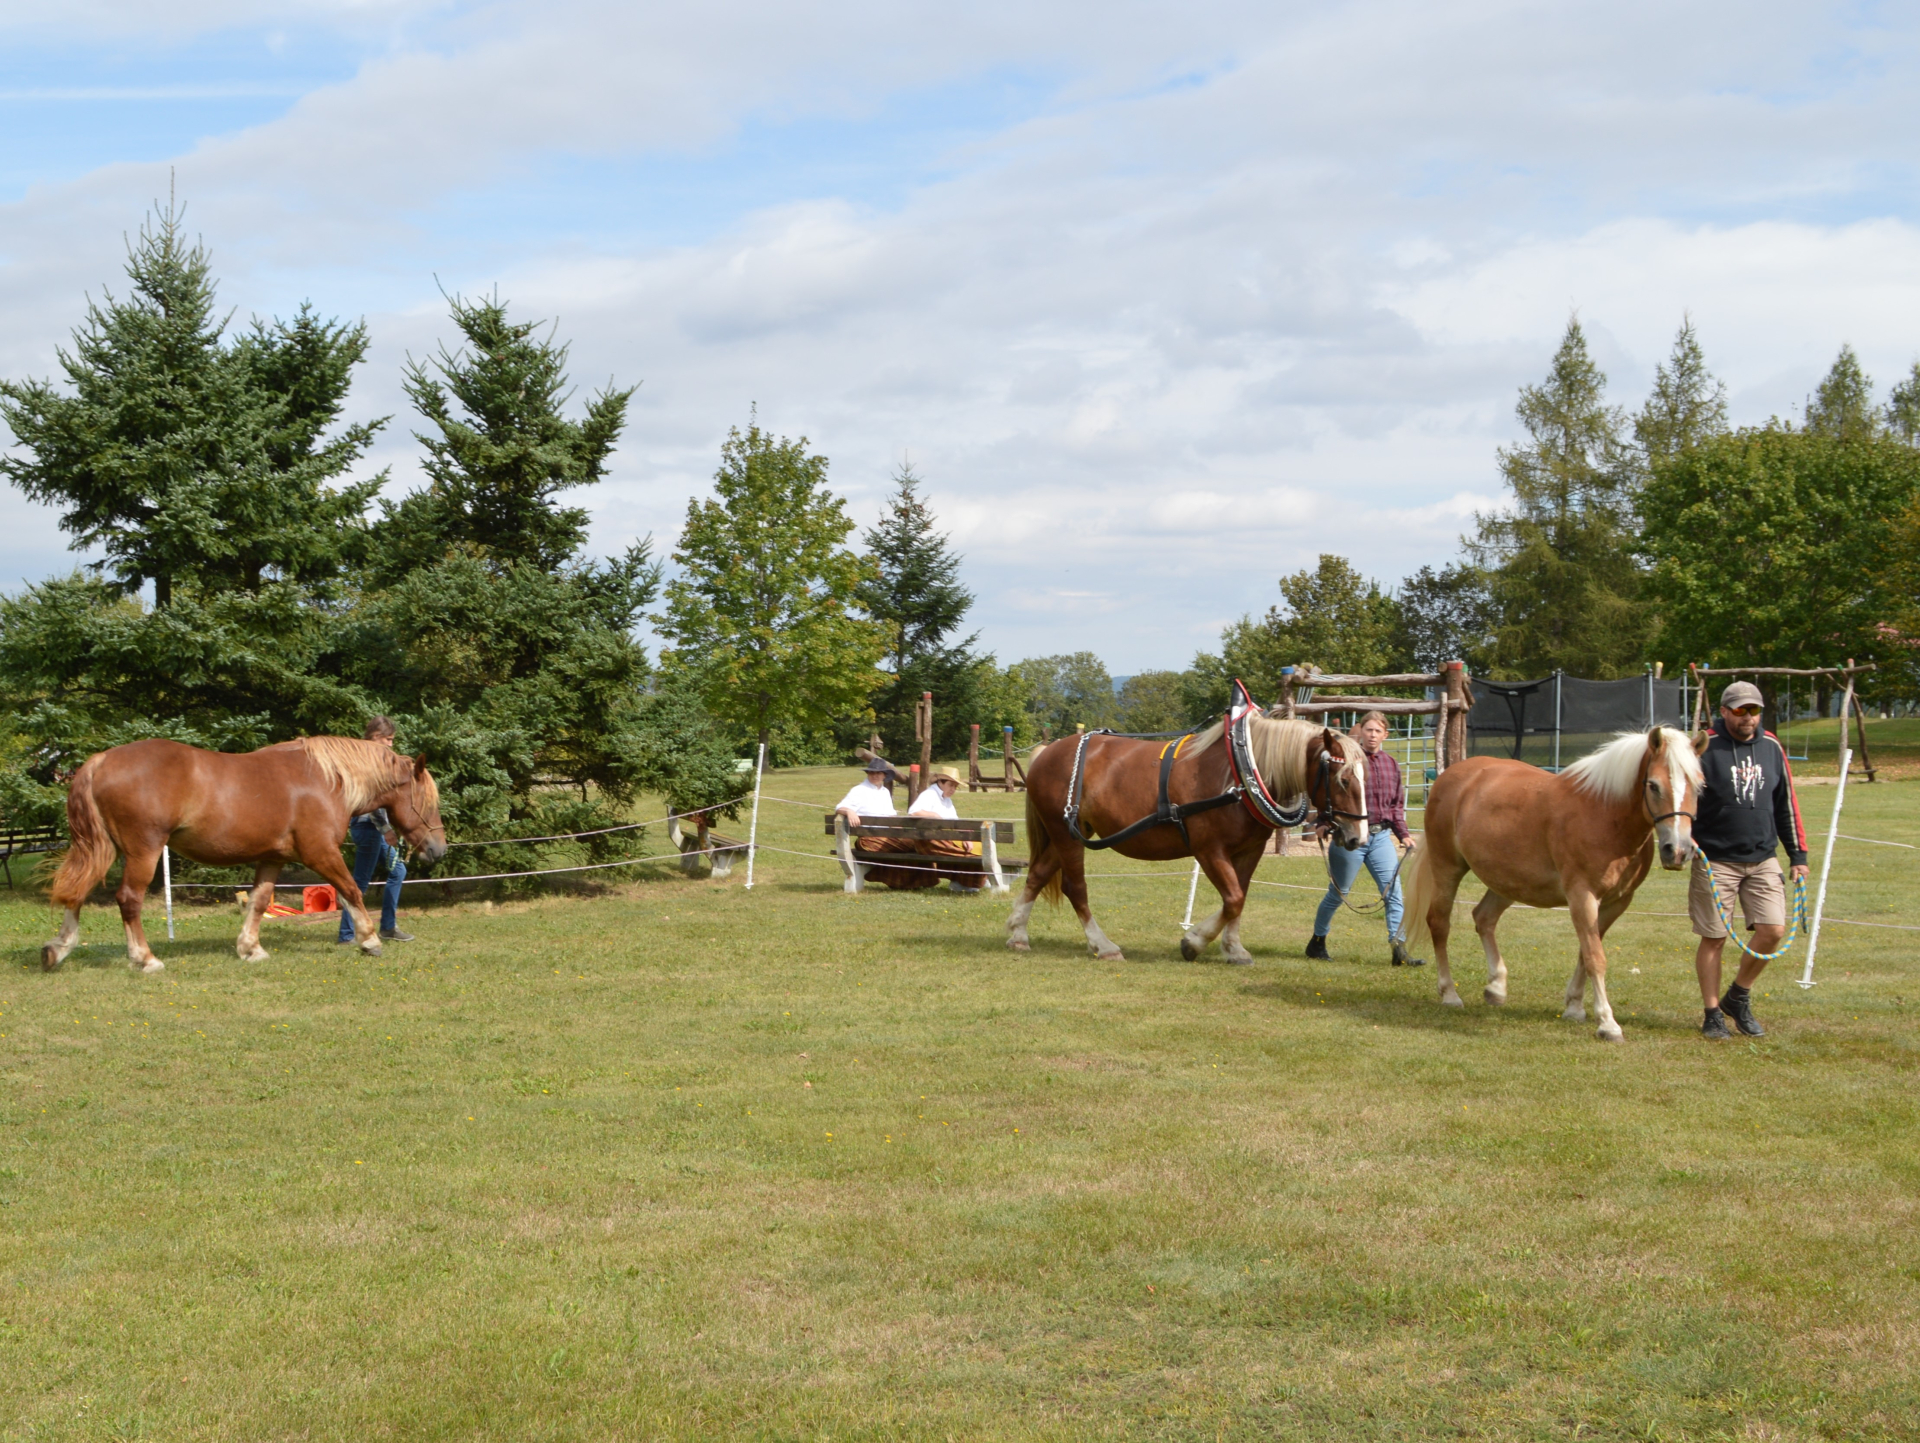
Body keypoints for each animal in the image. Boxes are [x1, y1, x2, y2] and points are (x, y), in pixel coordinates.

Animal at [43, 736, 447, 974]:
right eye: (428, 802)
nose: (438, 849)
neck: (328, 780)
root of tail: (100, 761)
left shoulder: (272, 858)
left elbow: (258, 901)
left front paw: (250, 949)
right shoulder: (320, 853)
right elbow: (351, 890)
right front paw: (370, 940)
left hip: (103, 848)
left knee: (76, 893)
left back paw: (58, 949)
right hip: (144, 851)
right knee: (128, 899)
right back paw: (145, 958)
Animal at [1013, 683, 1374, 963]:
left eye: (1365, 776)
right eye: (1343, 780)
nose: (1358, 838)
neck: (1241, 773)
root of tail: (1046, 753)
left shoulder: (1251, 849)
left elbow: (1239, 897)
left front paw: (1233, 948)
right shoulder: (1209, 850)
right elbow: (1233, 898)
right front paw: (1194, 942)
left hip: (1072, 833)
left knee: (1037, 874)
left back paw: (1017, 933)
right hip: (1066, 835)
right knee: (1075, 887)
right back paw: (1103, 945)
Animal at [1397, 725, 1697, 1043]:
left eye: (1699, 786)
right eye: (1653, 785)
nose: (1677, 851)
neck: (1604, 814)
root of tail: (1452, 775)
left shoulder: (1616, 902)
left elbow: (1585, 952)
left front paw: (1575, 1007)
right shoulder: (1582, 897)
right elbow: (1595, 957)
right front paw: (1607, 1023)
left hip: (1508, 881)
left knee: (1484, 918)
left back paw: (1496, 987)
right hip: (1448, 868)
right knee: (1439, 923)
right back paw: (1450, 994)